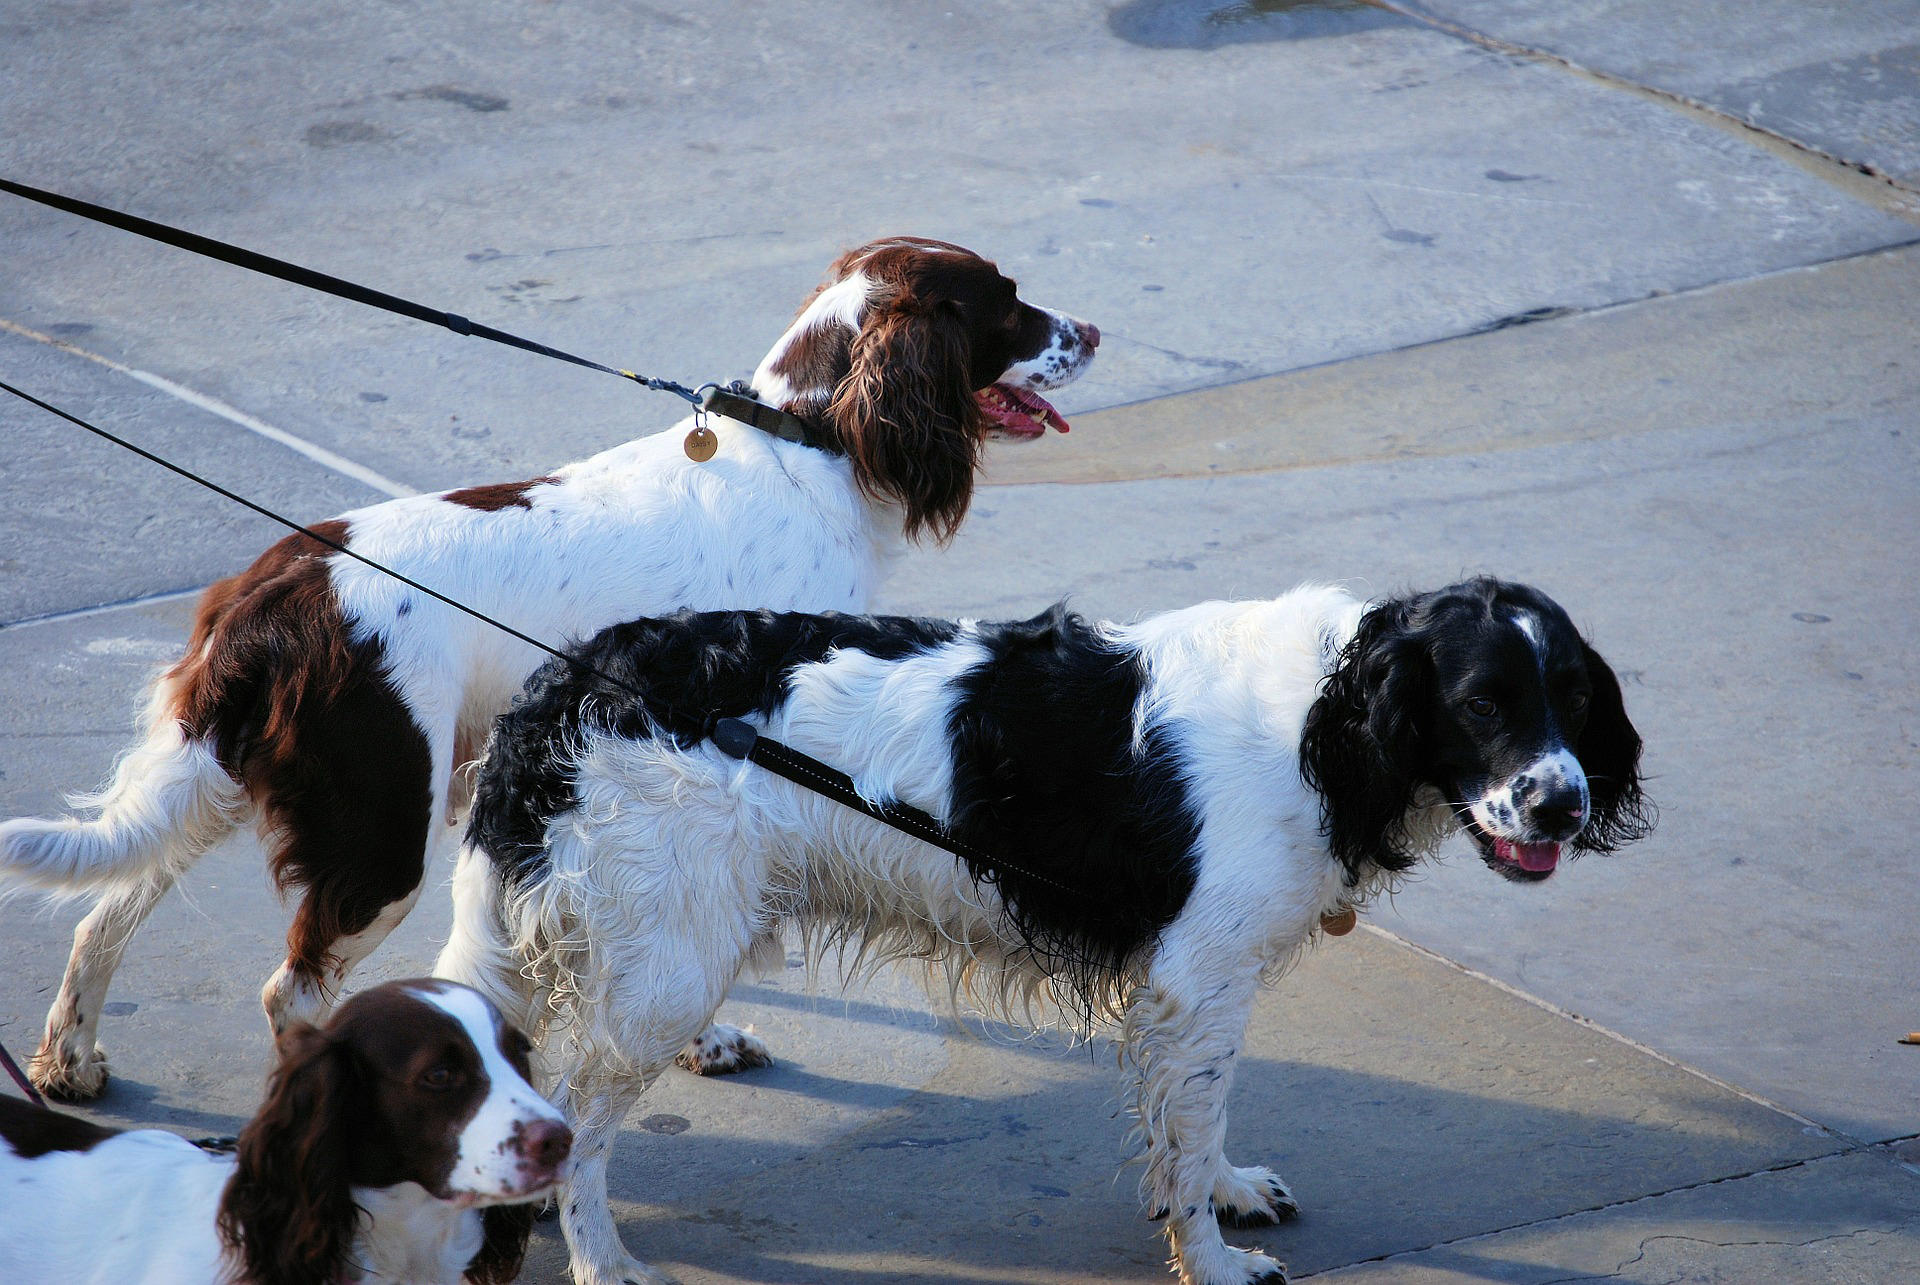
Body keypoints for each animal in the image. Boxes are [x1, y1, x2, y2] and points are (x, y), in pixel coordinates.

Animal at [0, 235, 1098, 1098]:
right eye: (1006, 300)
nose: (1092, 330)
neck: (811, 443)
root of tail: (274, 600)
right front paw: (704, 1034)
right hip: (381, 826)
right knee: (290, 989)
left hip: (227, 776)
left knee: (106, 913)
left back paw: (67, 1062)